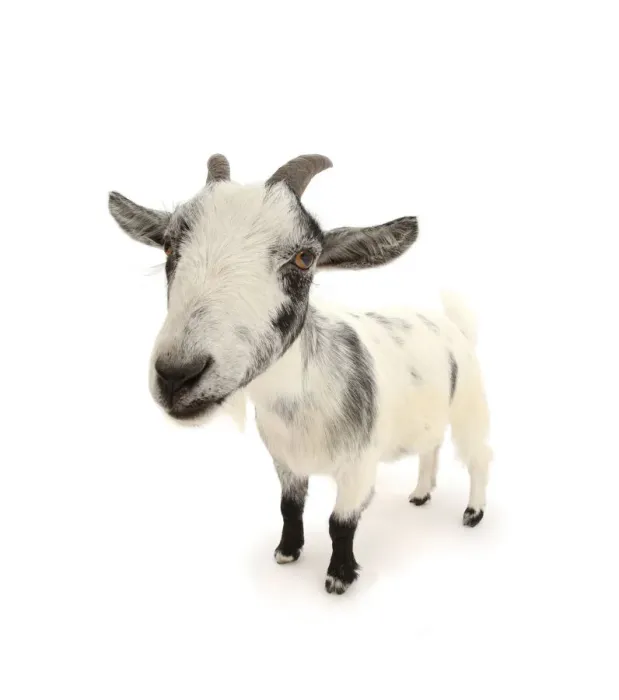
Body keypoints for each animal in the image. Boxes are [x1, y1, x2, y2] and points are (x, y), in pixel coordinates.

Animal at [108, 154, 492, 594]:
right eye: (169, 245)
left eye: (305, 258)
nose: (176, 375)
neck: (303, 403)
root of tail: (452, 324)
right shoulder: (284, 460)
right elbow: (289, 507)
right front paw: (287, 552)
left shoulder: (360, 466)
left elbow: (340, 523)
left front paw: (339, 577)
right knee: (431, 448)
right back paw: (421, 493)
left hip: (470, 409)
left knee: (479, 456)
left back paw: (473, 512)